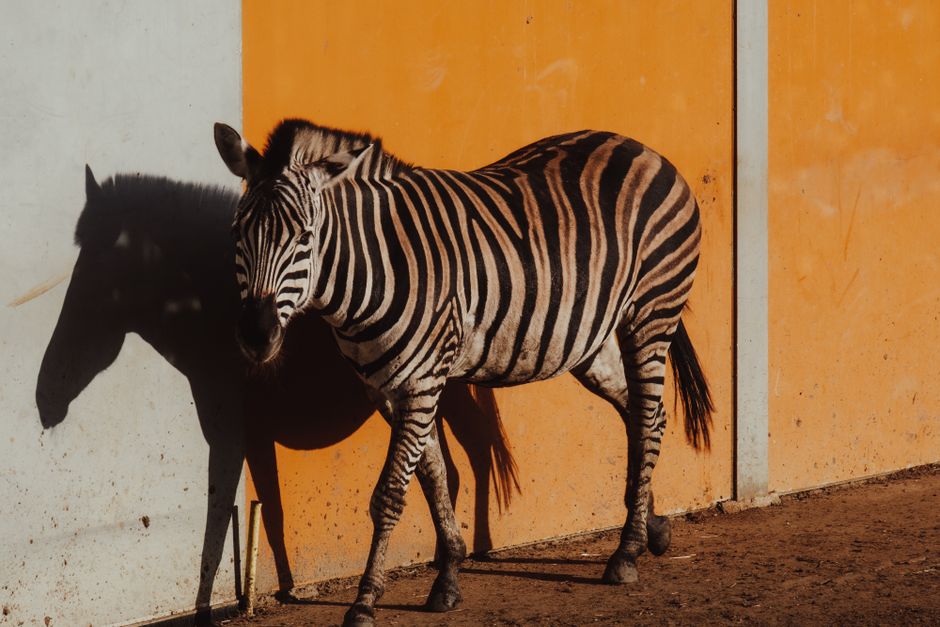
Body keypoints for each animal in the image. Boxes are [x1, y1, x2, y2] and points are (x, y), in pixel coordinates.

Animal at [214, 118, 713, 626]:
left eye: (305, 237)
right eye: (237, 233)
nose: (257, 336)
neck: (374, 264)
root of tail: (639, 147)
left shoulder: (421, 382)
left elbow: (390, 494)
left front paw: (365, 599)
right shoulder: (391, 388)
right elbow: (434, 476)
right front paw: (449, 576)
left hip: (651, 314)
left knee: (646, 419)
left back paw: (626, 552)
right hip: (587, 340)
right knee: (644, 416)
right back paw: (650, 527)